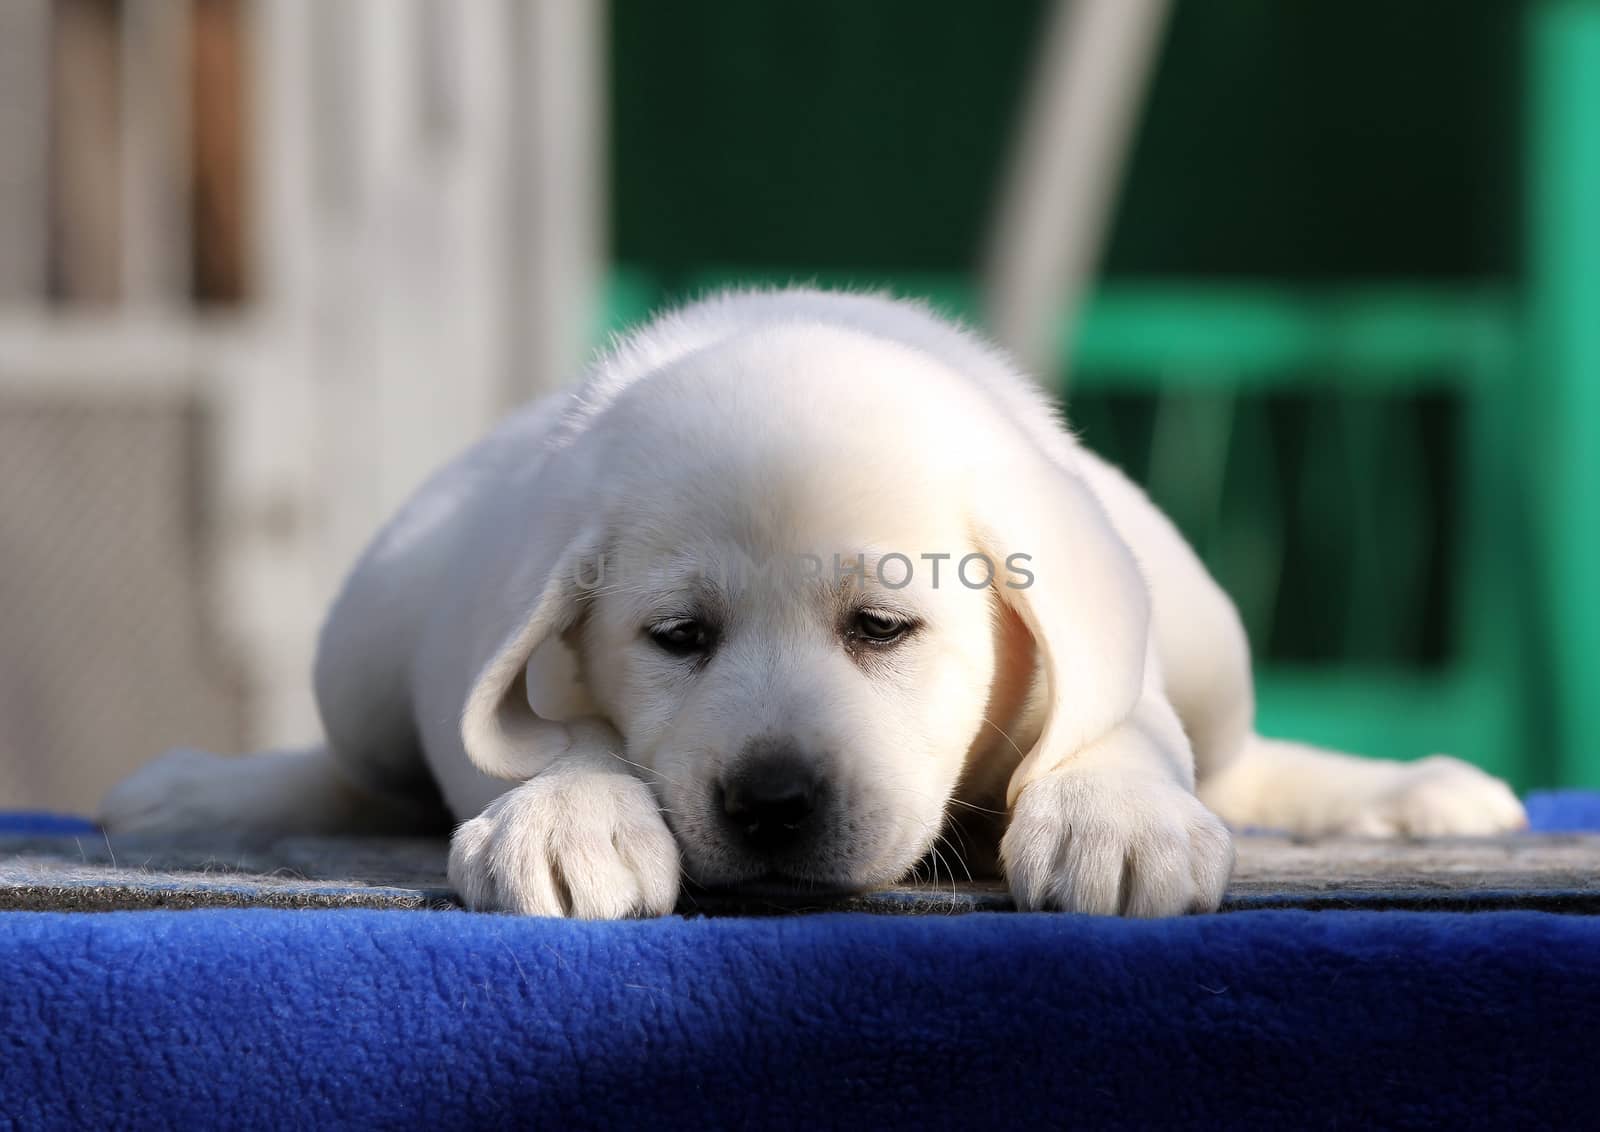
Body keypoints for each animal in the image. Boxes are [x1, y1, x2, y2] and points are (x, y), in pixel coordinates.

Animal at [100, 287, 1523, 914]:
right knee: (358, 767)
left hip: (1208, 630)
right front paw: (566, 816)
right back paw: (199, 789)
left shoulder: (1109, 660)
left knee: (1233, 753)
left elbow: (1120, 730)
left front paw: (1115, 820)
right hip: (364, 641)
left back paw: (1410, 788)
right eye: (677, 638)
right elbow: (558, 740)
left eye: (883, 628)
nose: (774, 801)